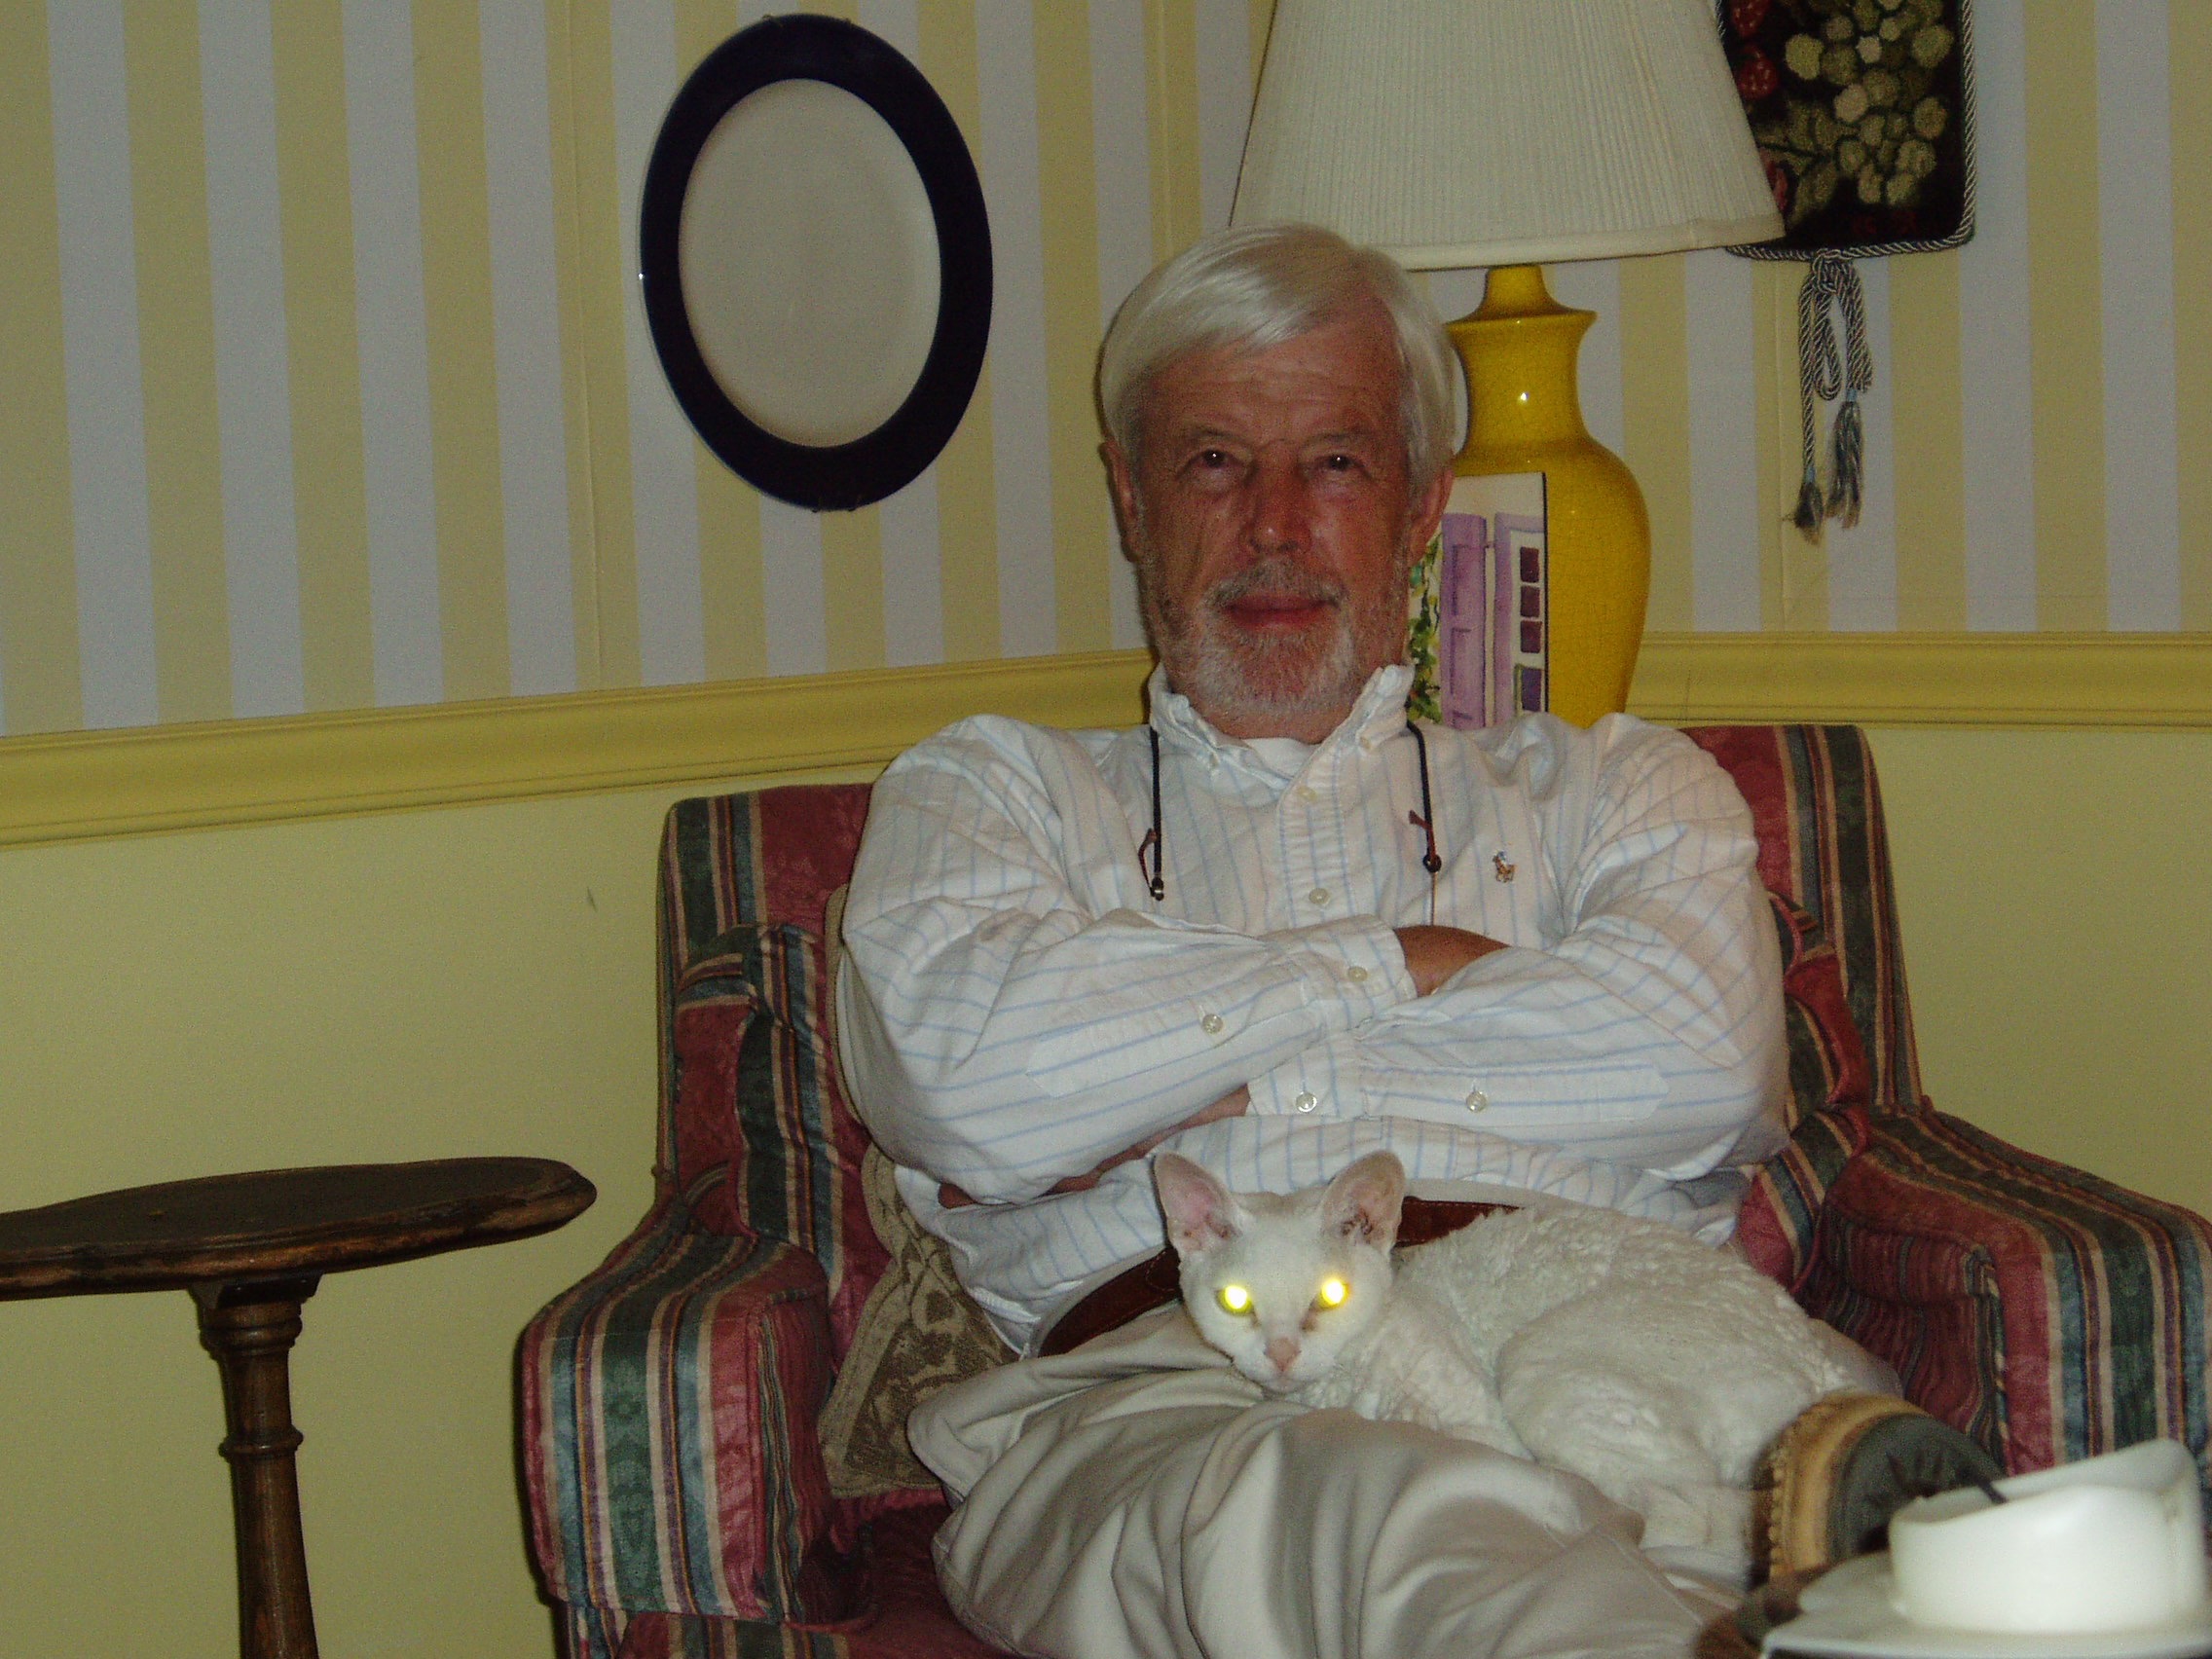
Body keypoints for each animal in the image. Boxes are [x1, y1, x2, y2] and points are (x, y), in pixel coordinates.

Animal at [1152, 1148, 1893, 1575]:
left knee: (1682, 1513)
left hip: (1547, 1371)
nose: (1282, 1353)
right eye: (1236, 1302)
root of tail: (1826, 1377)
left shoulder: (1480, 1418)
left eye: (1330, 1297)